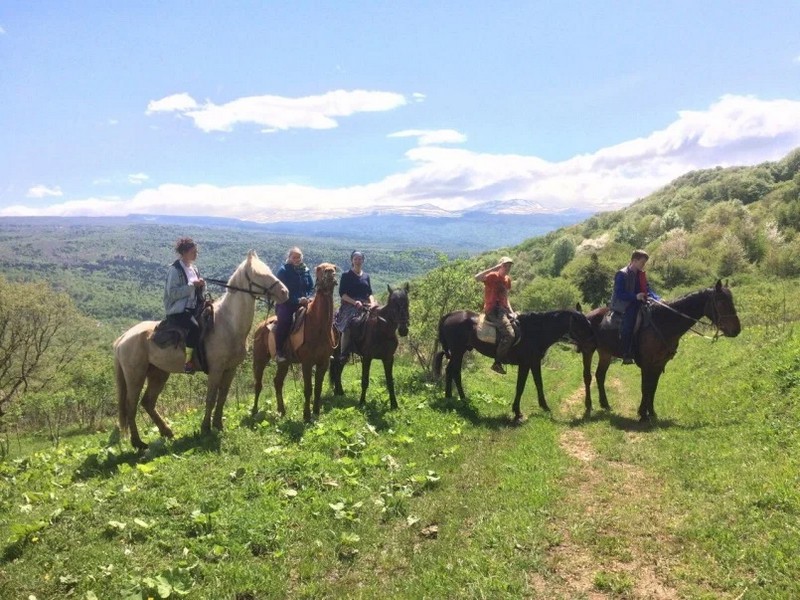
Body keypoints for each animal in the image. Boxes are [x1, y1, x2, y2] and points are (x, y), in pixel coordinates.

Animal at [111, 250, 290, 450]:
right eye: (259, 274)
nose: (284, 292)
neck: (228, 324)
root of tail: (122, 339)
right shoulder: (216, 369)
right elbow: (211, 398)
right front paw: (205, 428)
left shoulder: (230, 369)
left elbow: (222, 397)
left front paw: (218, 425)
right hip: (135, 376)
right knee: (131, 406)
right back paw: (138, 443)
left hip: (158, 373)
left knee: (147, 402)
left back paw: (166, 432)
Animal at [250, 262, 338, 422]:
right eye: (319, 269)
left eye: (334, 268)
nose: (330, 273)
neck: (319, 326)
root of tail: (260, 326)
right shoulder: (307, 363)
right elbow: (308, 389)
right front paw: (306, 415)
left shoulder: (324, 363)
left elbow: (318, 388)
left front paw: (316, 412)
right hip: (260, 360)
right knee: (258, 384)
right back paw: (254, 410)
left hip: (284, 363)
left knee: (277, 382)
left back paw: (281, 410)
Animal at [434, 310, 596, 422]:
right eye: (581, 326)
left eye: (588, 323)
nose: (592, 342)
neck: (536, 331)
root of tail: (449, 316)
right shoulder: (525, 364)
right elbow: (520, 386)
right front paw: (517, 412)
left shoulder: (534, 362)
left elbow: (539, 384)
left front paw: (544, 406)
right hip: (457, 351)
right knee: (453, 371)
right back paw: (456, 398)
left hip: (459, 351)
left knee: (451, 371)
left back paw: (454, 398)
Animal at [580, 280, 744, 422]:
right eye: (721, 302)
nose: (736, 330)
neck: (663, 322)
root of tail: (587, 315)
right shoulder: (647, 363)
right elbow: (645, 387)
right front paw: (643, 414)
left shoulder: (659, 363)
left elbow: (653, 387)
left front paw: (651, 413)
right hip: (588, 351)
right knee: (588, 377)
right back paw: (588, 406)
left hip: (605, 353)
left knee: (600, 376)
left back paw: (605, 404)